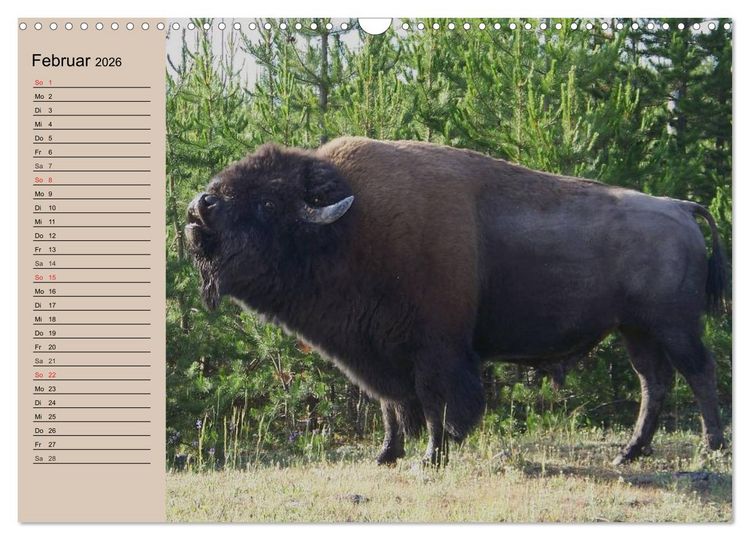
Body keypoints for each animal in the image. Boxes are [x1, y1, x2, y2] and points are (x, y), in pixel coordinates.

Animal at [185, 137, 727, 466]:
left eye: (268, 203)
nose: (198, 208)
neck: (351, 225)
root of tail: (680, 207)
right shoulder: (376, 351)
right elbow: (391, 404)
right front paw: (386, 456)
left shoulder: (435, 349)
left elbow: (434, 402)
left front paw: (433, 455)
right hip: (635, 330)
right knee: (654, 383)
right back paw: (628, 453)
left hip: (674, 327)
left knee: (699, 375)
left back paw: (710, 449)